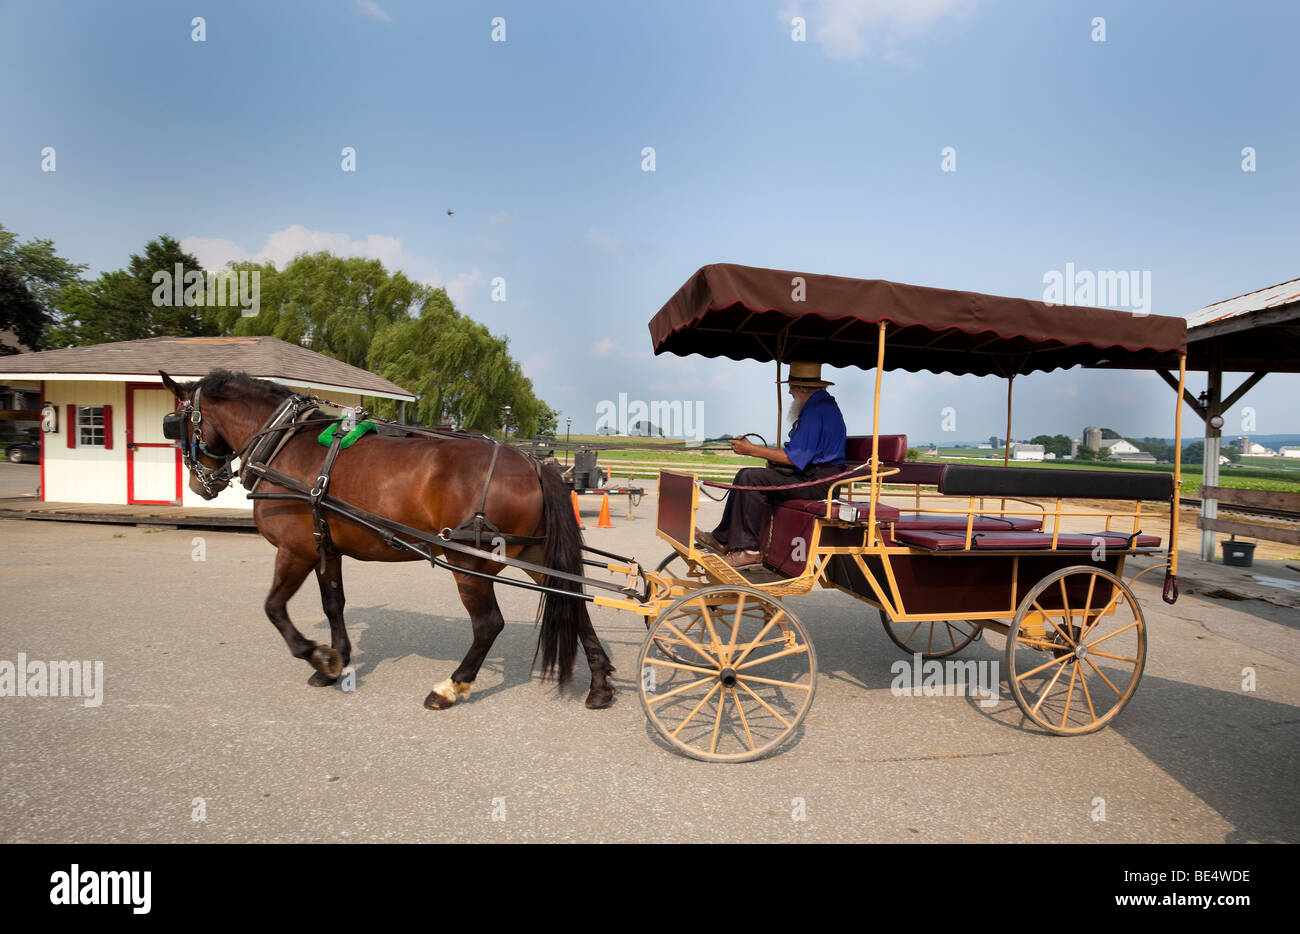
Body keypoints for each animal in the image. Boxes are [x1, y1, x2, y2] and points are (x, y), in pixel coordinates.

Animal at [156, 369, 613, 712]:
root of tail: (533, 463)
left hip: (468, 561)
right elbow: (333, 603)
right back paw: (600, 683)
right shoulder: (326, 547)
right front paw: (338, 659)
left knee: (489, 624)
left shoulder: (296, 550)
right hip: (535, 552)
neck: (282, 442)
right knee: (574, 603)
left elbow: (273, 608)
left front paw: (317, 655)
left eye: (175, 422)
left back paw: (451, 686)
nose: (199, 484)